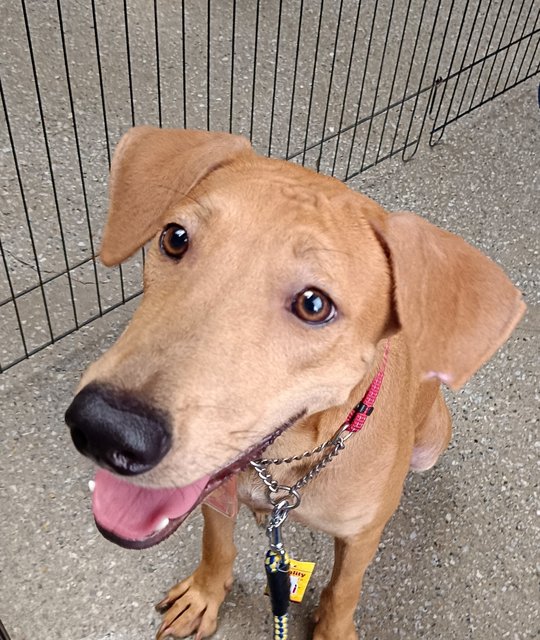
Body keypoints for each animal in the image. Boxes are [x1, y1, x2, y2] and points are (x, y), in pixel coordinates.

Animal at [65, 126, 524, 640]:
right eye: (175, 237)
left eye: (314, 304)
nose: (105, 429)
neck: (283, 466)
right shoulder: (215, 494)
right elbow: (216, 545)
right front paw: (205, 594)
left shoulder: (360, 537)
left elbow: (344, 590)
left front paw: (332, 628)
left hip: (431, 443)